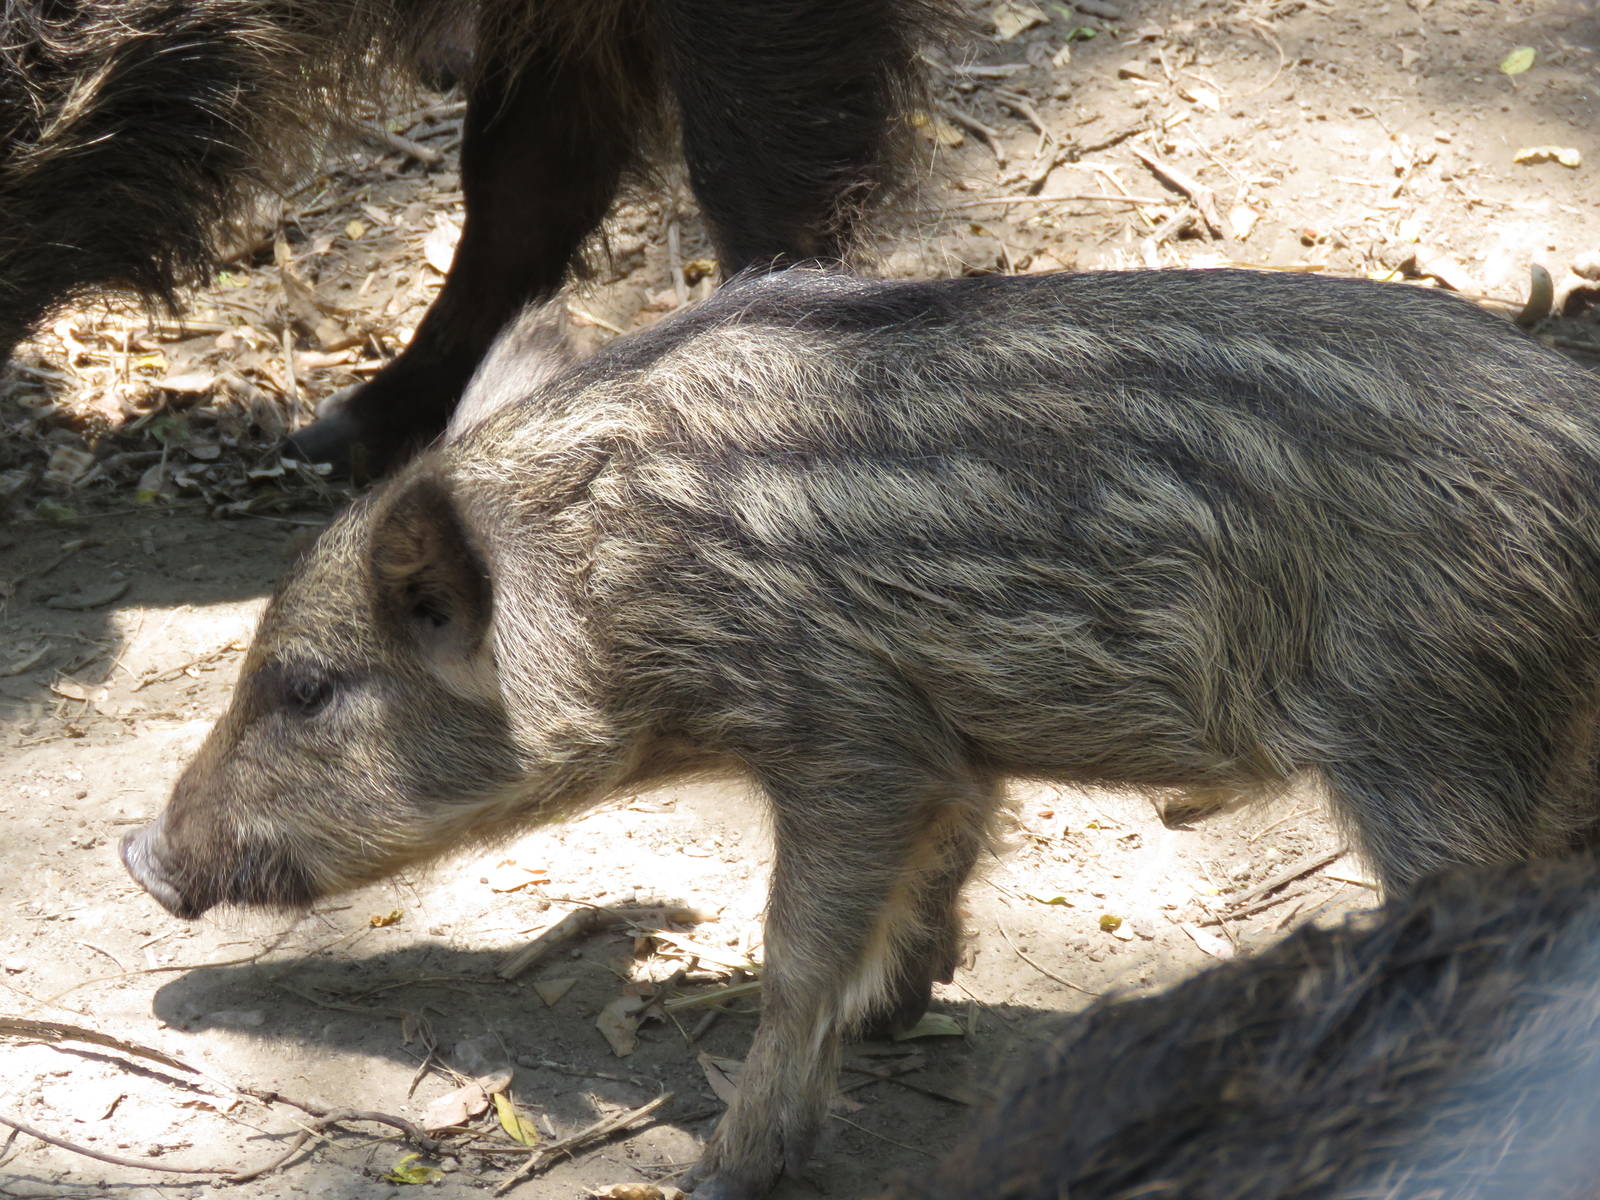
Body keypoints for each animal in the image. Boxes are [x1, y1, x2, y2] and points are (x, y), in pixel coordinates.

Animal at [123, 266, 1600, 1197]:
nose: (142, 856)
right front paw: (903, 1011)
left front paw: (725, 1170)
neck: (621, 585)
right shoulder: (946, 743)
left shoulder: (848, 737)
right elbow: (937, 873)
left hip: (1440, 752)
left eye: (307, 686)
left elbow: (795, 953)